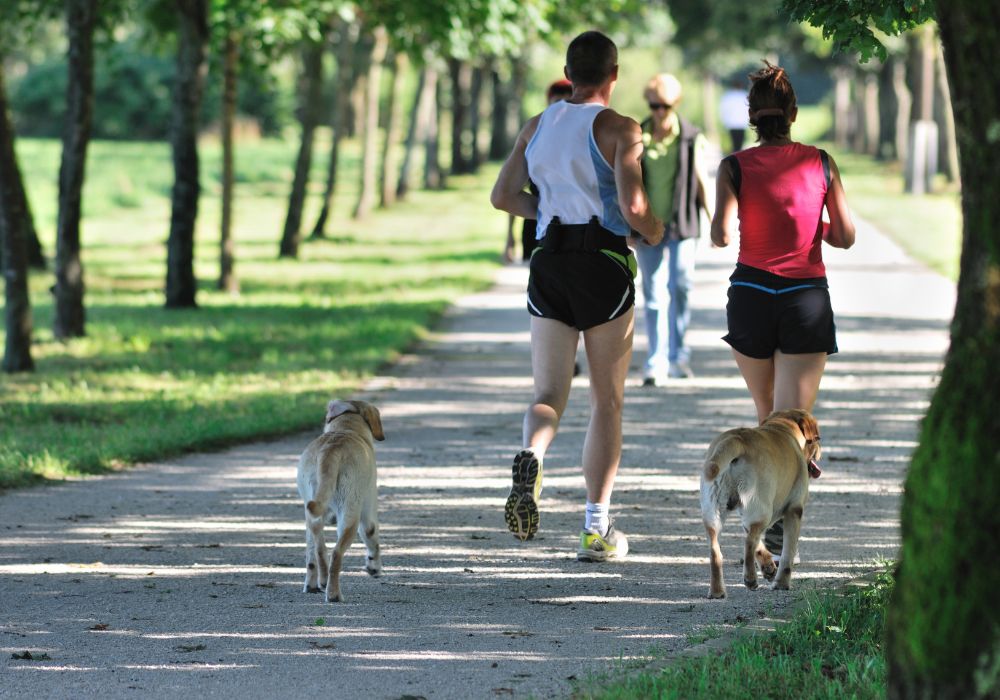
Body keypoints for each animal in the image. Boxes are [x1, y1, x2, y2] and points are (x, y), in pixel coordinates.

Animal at [294, 400, 384, 600]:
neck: (346, 427)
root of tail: (330, 451)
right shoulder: (368, 509)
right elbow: (371, 535)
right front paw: (374, 567)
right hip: (350, 514)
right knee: (336, 553)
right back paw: (334, 594)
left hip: (311, 513)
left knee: (316, 550)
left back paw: (317, 583)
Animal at [704, 408, 820, 600]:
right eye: (817, 439)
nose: (820, 451)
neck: (784, 427)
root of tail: (736, 440)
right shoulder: (794, 511)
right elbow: (787, 553)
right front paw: (781, 583)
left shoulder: (746, 515)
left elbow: (759, 545)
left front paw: (768, 567)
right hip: (761, 508)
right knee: (749, 542)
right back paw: (750, 578)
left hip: (715, 513)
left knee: (716, 551)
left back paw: (717, 591)